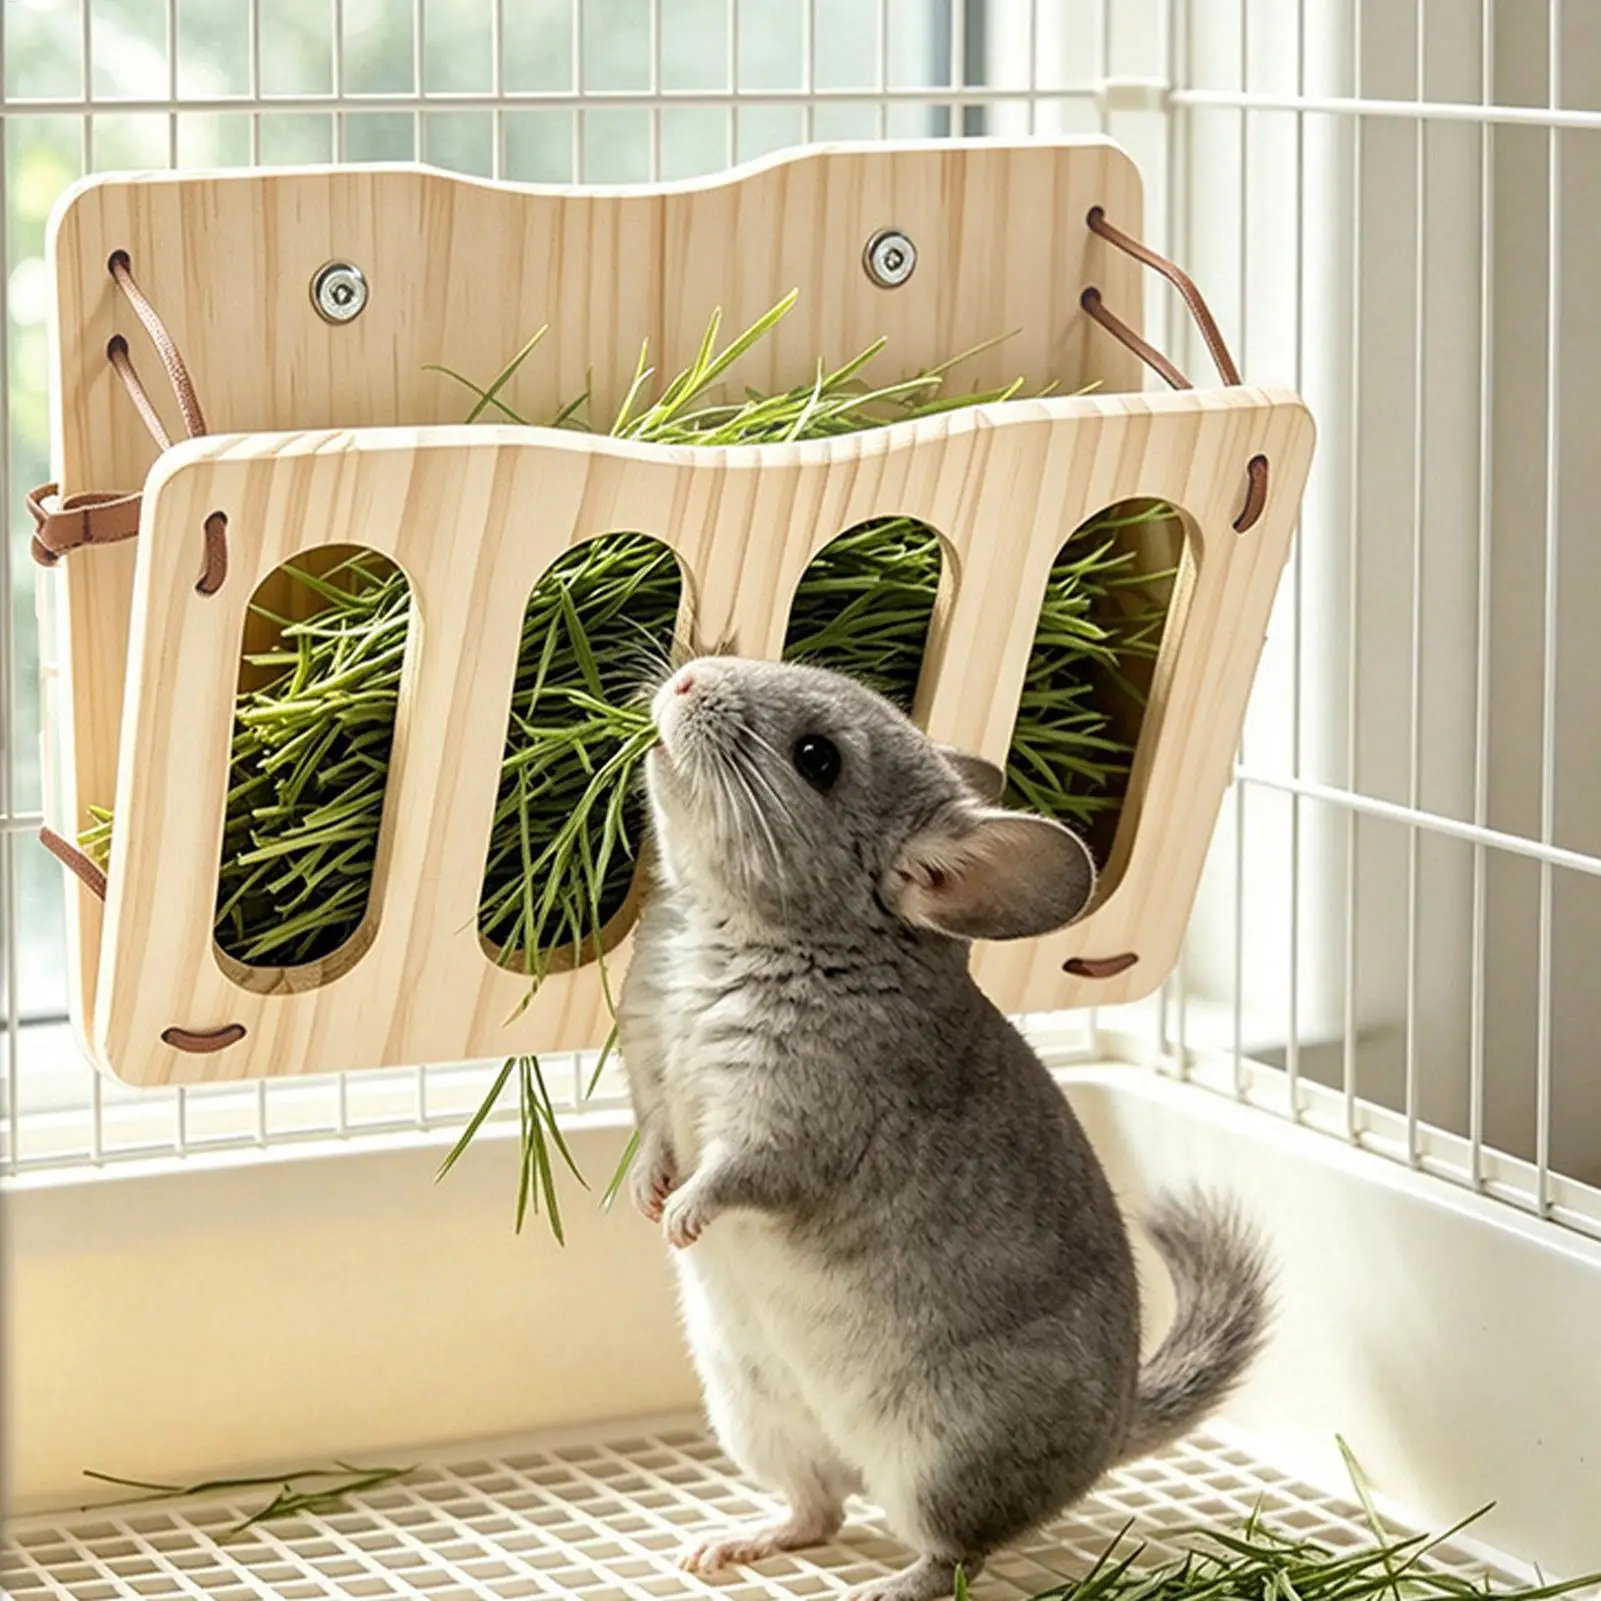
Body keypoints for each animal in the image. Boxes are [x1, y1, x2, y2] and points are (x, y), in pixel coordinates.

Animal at [616, 656, 1270, 1601]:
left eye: (817, 758)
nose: (687, 679)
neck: (733, 932)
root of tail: (1113, 1433)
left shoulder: (795, 1122)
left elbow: (736, 1174)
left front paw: (681, 1219)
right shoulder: (647, 1067)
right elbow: (652, 1141)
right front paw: (644, 1199)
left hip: (944, 1460)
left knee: (951, 1553)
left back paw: (879, 1587)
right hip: (754, 1415)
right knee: (818, 1510)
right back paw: (731, 1544)